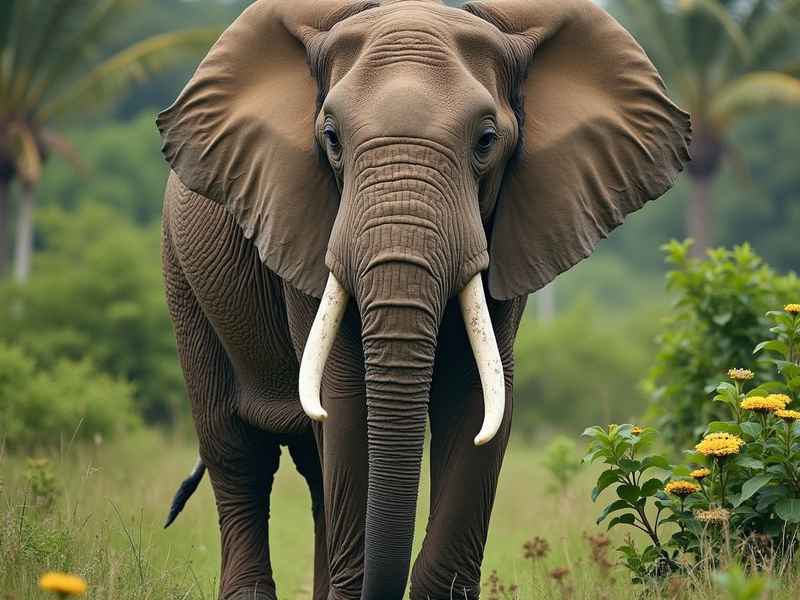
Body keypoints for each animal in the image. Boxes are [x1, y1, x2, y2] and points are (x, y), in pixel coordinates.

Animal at [157, 0, 691, 598]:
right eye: (331, 138)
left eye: (486, 141)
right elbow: (345, 398)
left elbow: (478, 398)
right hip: (182, 274)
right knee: (237, 453)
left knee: (312, 471)